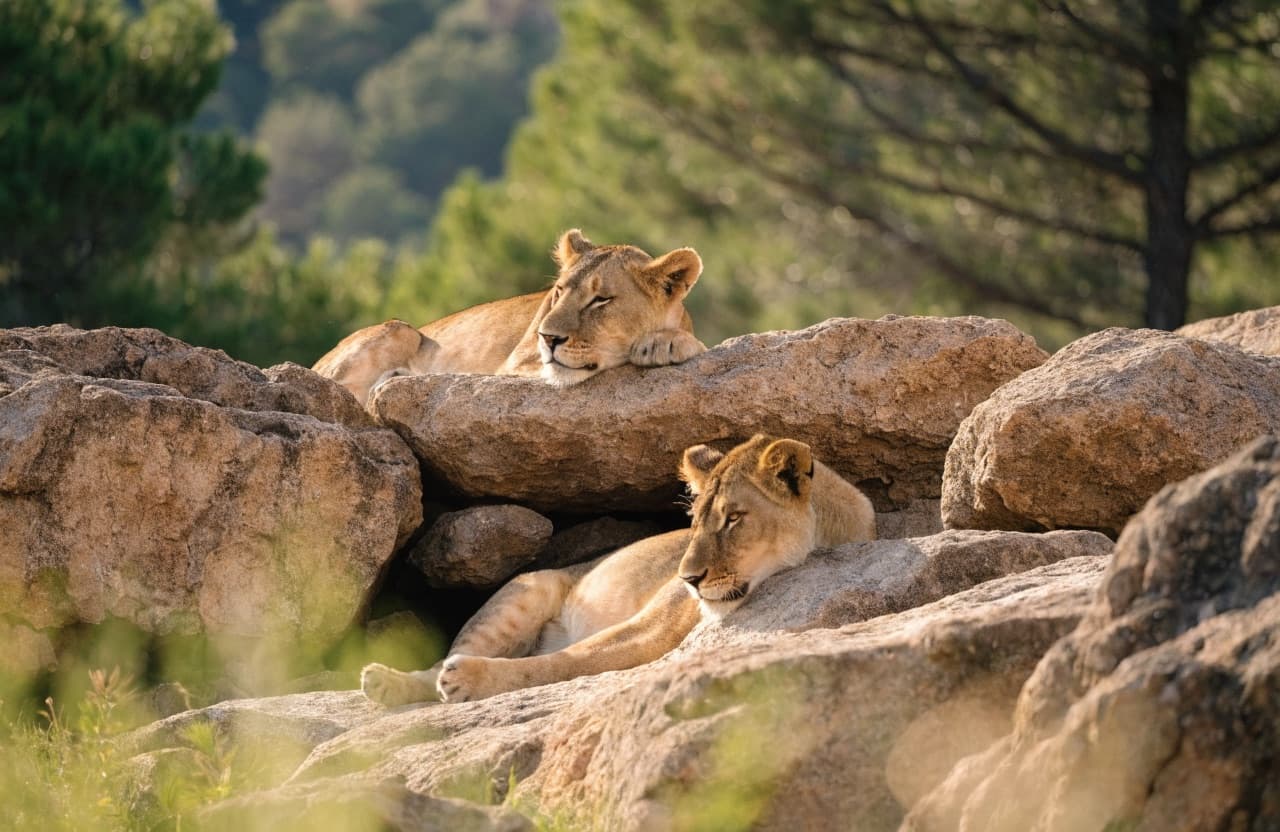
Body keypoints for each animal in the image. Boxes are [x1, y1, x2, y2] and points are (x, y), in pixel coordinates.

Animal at [312, 229, 707, 403]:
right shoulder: (513, 366)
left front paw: (667, 343)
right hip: (401, 331)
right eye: (559, 292)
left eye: (600, 300)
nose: (548, 338)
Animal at [361, 435, 876, 705]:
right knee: (435, 667)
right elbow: (567, 659)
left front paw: (469, 679)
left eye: (733, 519)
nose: (687, 580)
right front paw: (465, 678)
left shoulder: (655, 634)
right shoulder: (656, 623)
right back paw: (388, 680)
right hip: (525, 592)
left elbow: (566, 661)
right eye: (694, 521)